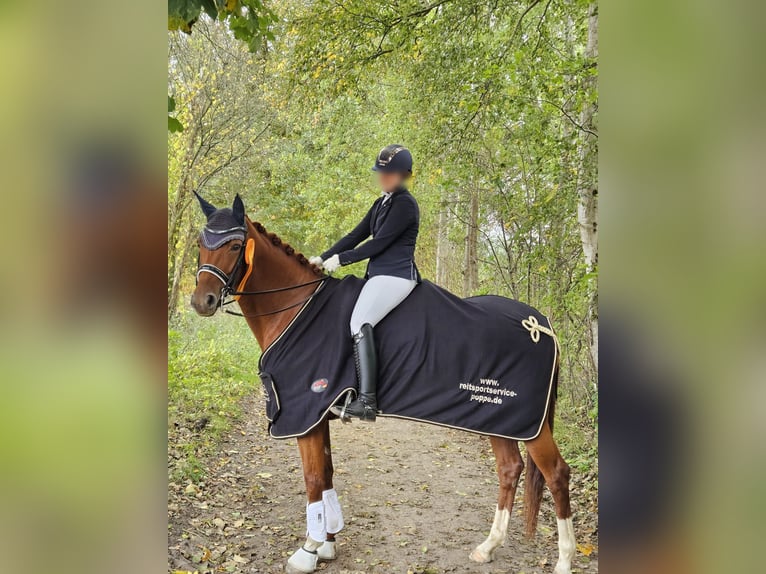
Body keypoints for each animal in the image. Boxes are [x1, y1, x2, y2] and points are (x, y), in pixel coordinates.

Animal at [189, 194, 576, 574]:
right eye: (200, 243)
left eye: (235, 245)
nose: (201, 302)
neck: (296, 308)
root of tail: (540, 324)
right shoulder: (318, 416)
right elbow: (327, 474)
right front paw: (328, 544)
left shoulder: (305, 414)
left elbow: (313, 479)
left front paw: (309, 549)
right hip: (498, 417)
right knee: (510, 469)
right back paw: (488, 547)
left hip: (527, 422)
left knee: (556, 473)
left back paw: (563, 560)